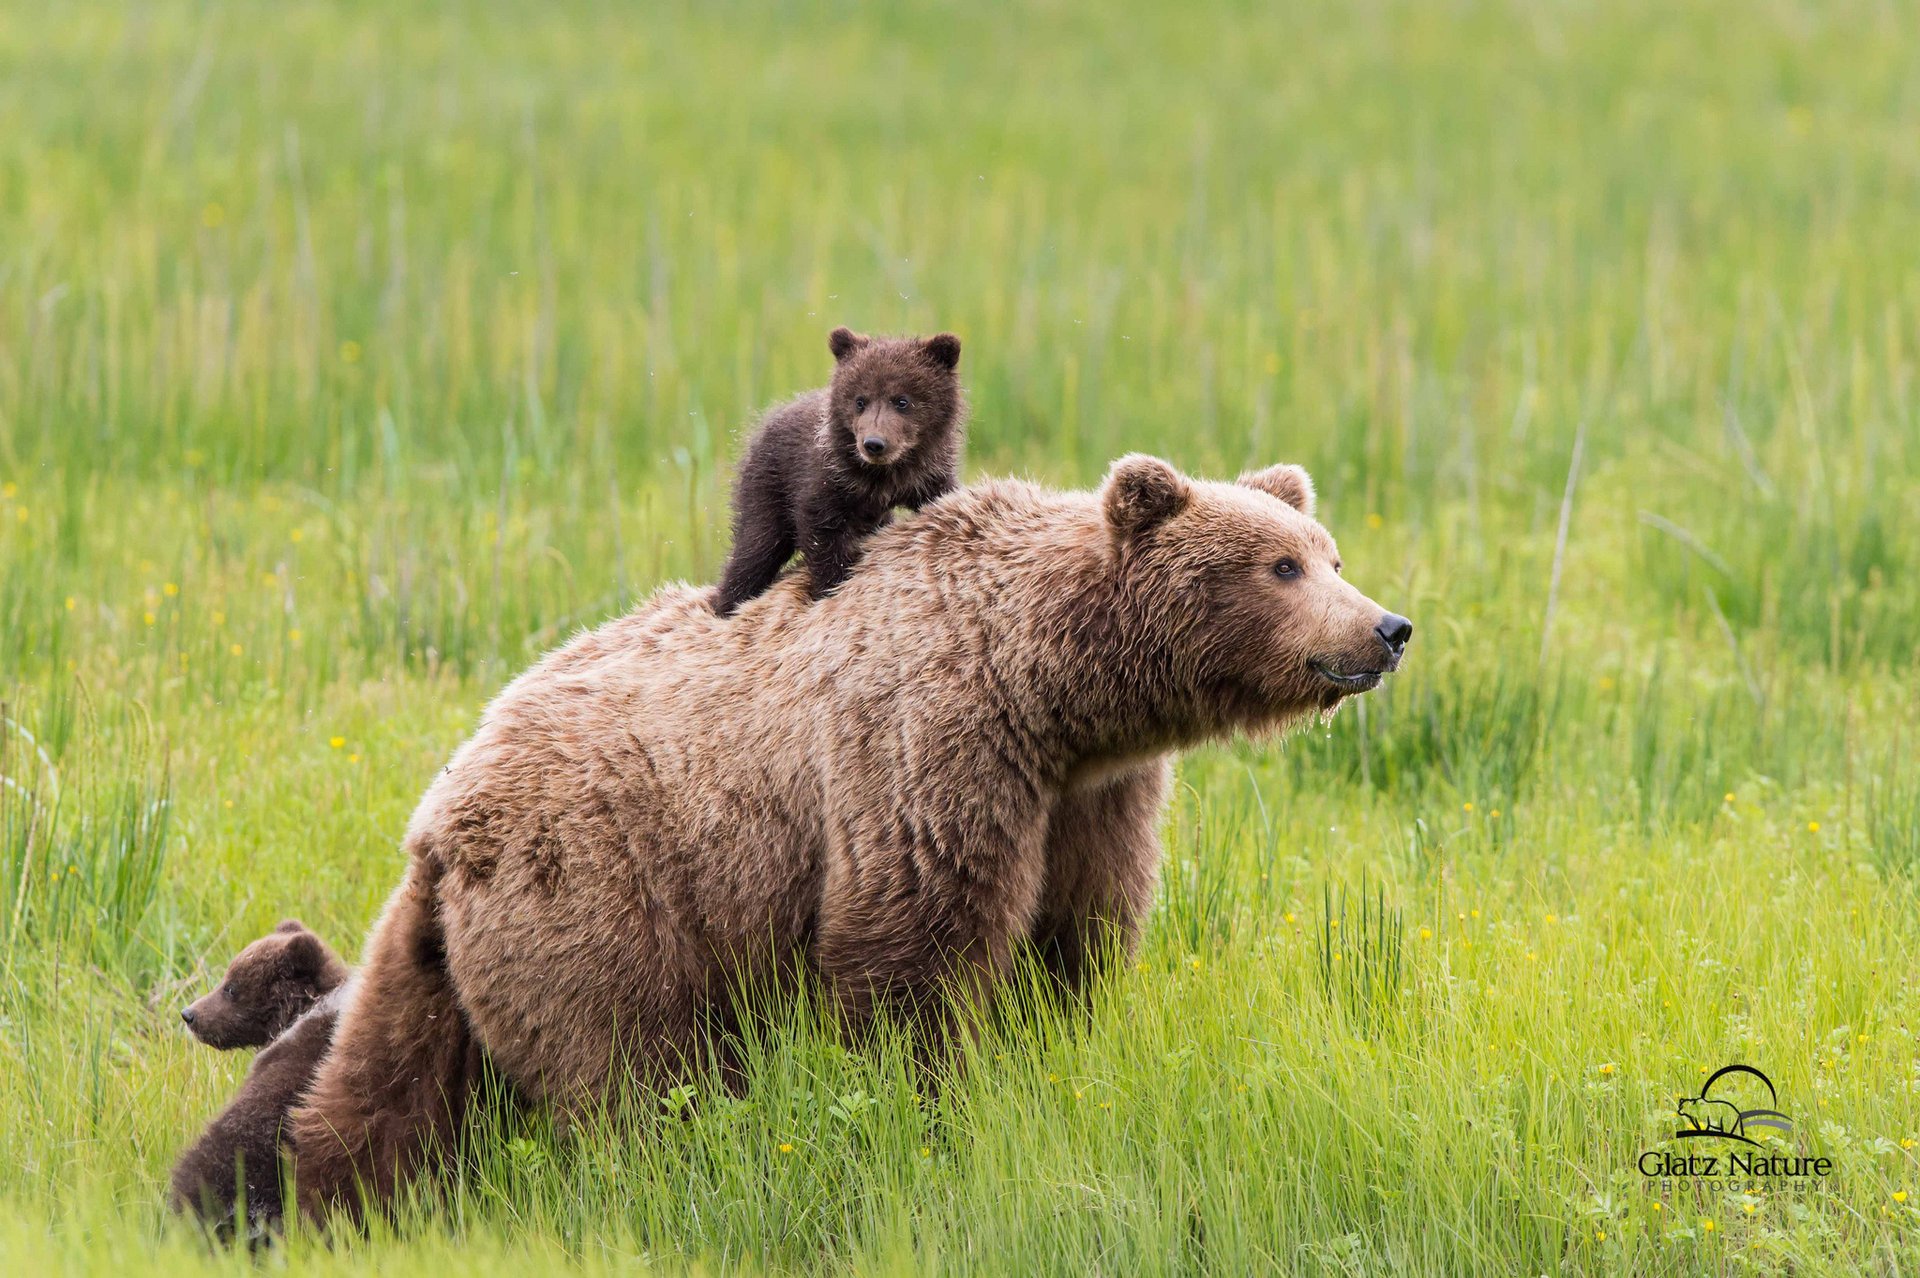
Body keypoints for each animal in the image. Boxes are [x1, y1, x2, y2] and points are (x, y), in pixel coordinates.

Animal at [288, 453, 1411, 1222]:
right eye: (1280, 565)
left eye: (1331, 554)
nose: (1388, 628)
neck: (1051, 694)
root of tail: (444, 809)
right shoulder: (932, 747)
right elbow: (914, 951)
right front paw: (929, 1111)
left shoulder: (1094, 799)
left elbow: (1074, 940)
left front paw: (1047, 1054)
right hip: (598, 889)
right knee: (623, 1070)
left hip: (442, 944)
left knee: (378, 1088)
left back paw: (325, 1200)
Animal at [711, 326, 965, 615]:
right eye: (860, 400)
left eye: (902, 401)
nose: (874, 443)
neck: (883, 476)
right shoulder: (828, 478)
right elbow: (820, 529)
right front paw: (832, 586)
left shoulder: (926, 476)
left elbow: (943, 498)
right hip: (768, 483)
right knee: (757, 547)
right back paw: (728, 603)